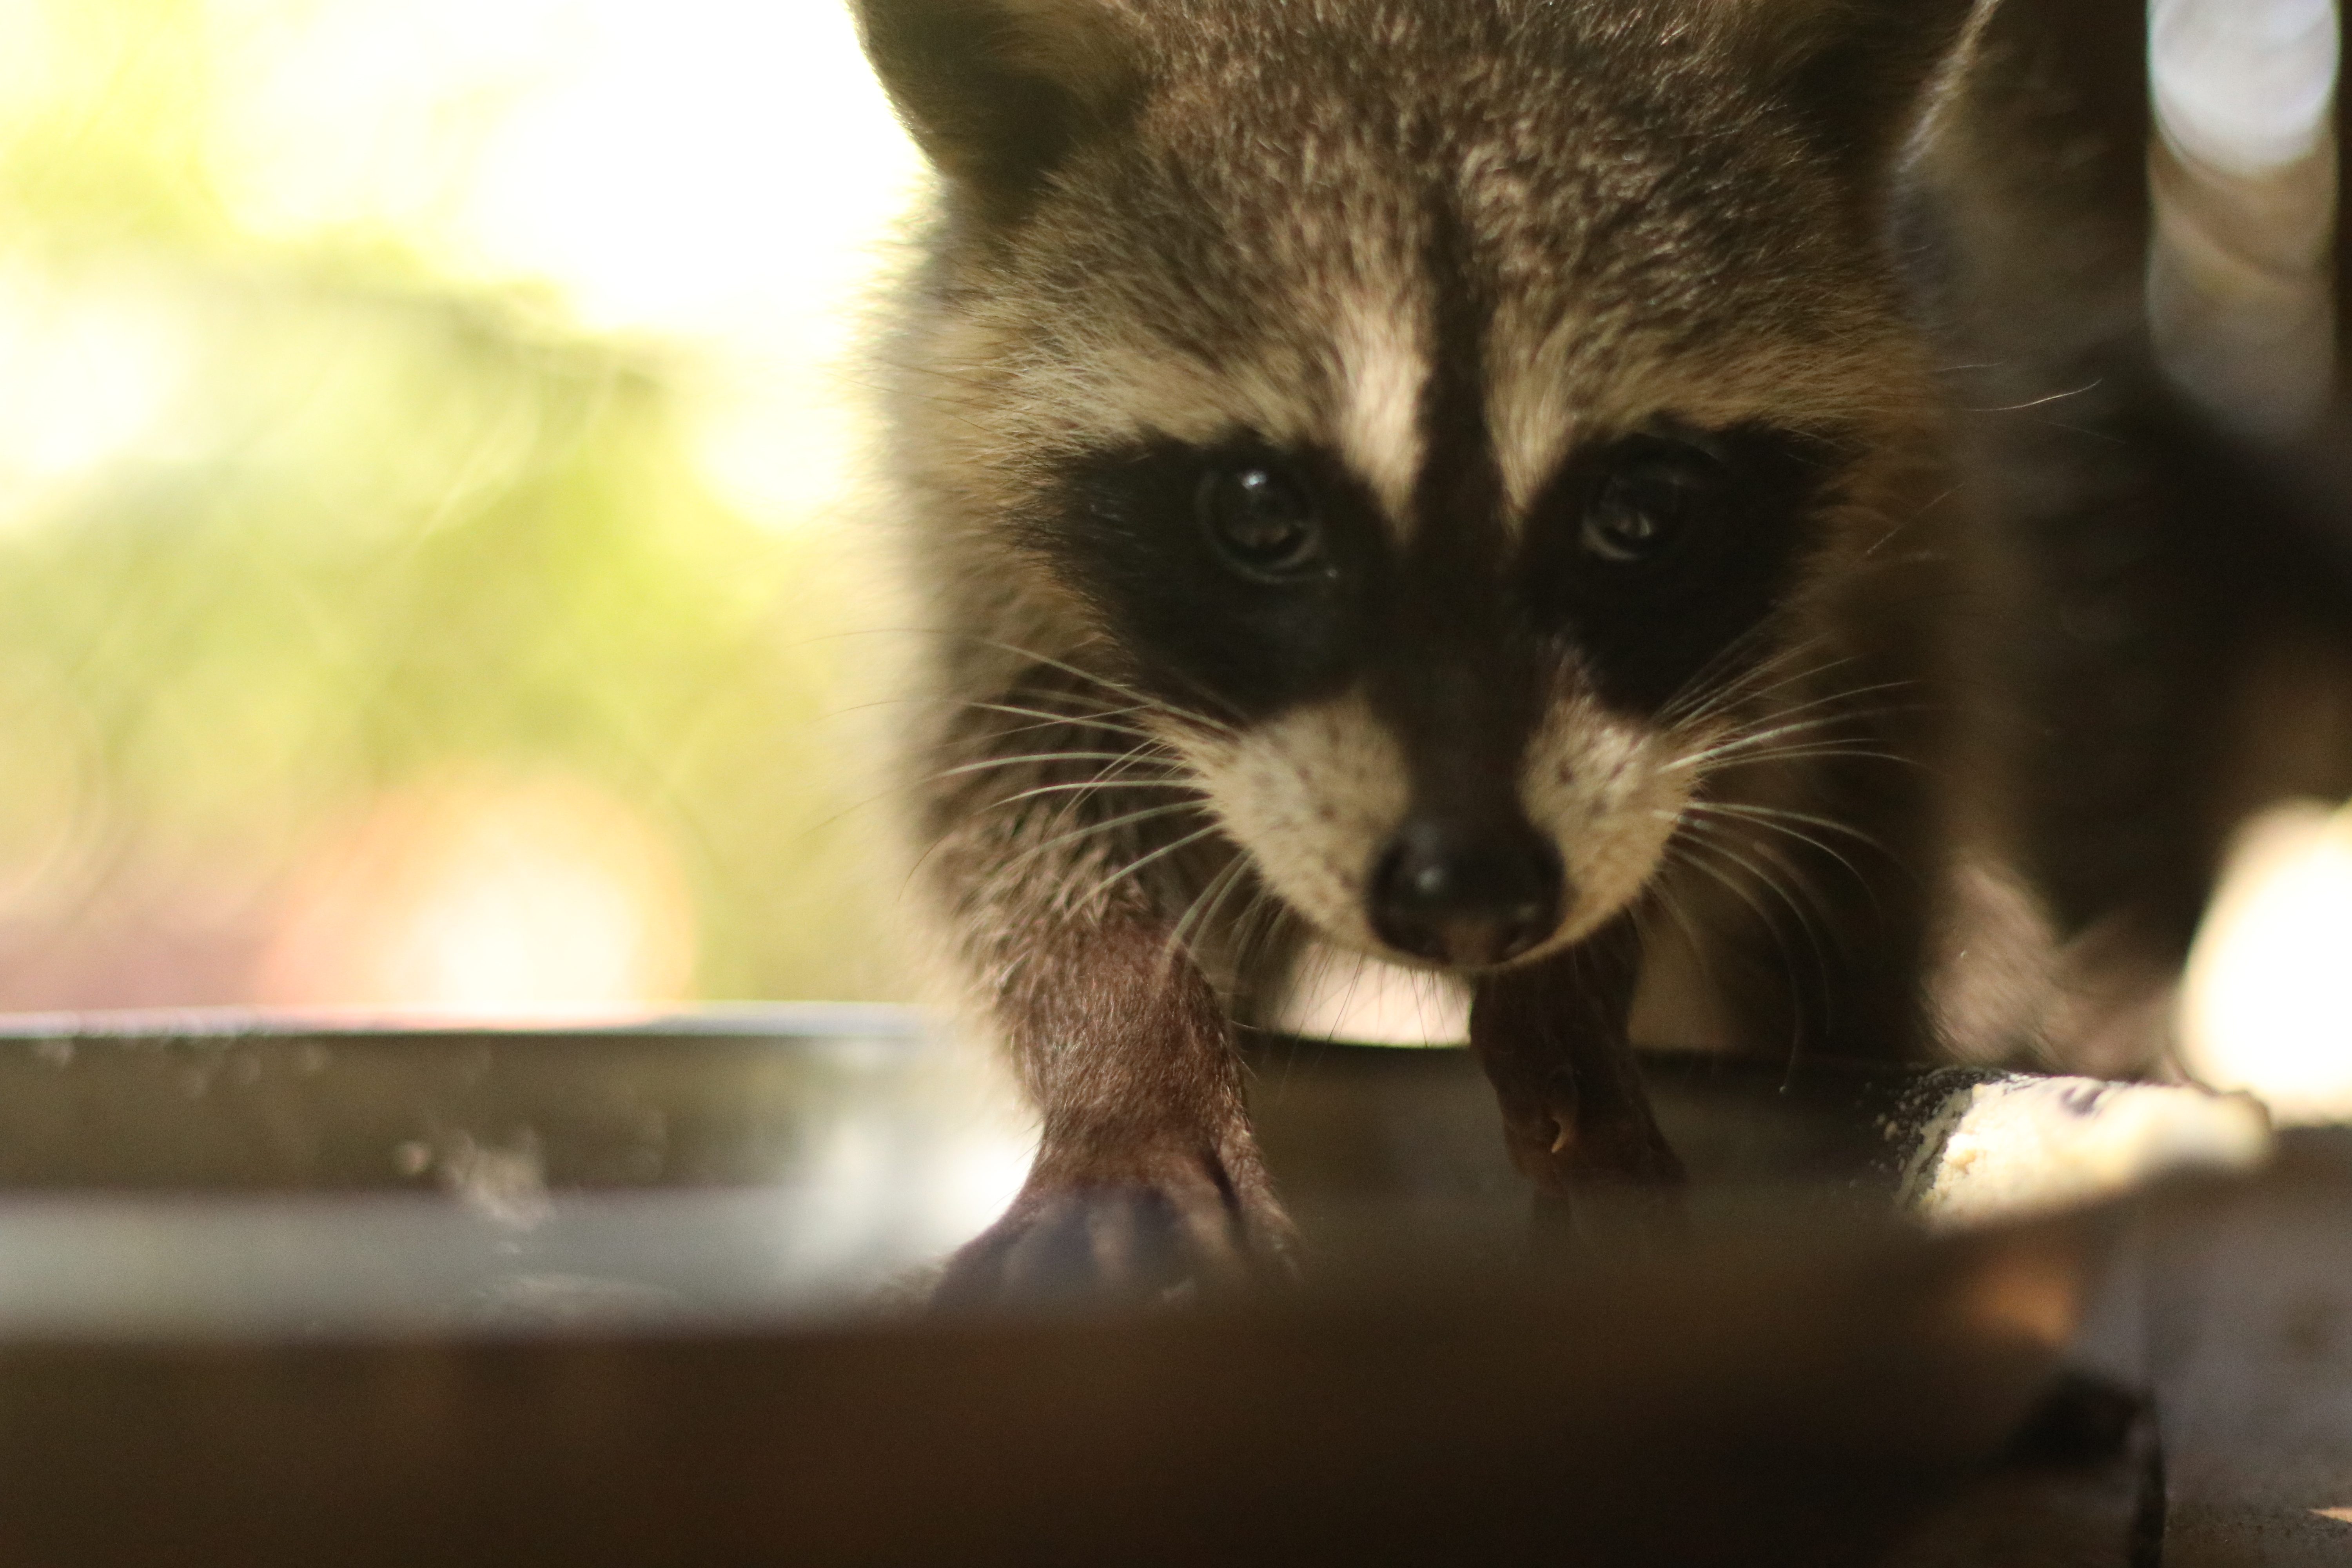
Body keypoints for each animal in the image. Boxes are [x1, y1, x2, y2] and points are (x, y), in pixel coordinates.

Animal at [852, 0, 1991, 1301]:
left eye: (1641, 510)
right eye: (1258, 513)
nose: (1475, 895)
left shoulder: (1788, 616)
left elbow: (1711, 789)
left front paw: (1570, 995)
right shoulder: (985, 555)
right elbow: (999, 798)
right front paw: (1126, 1056)